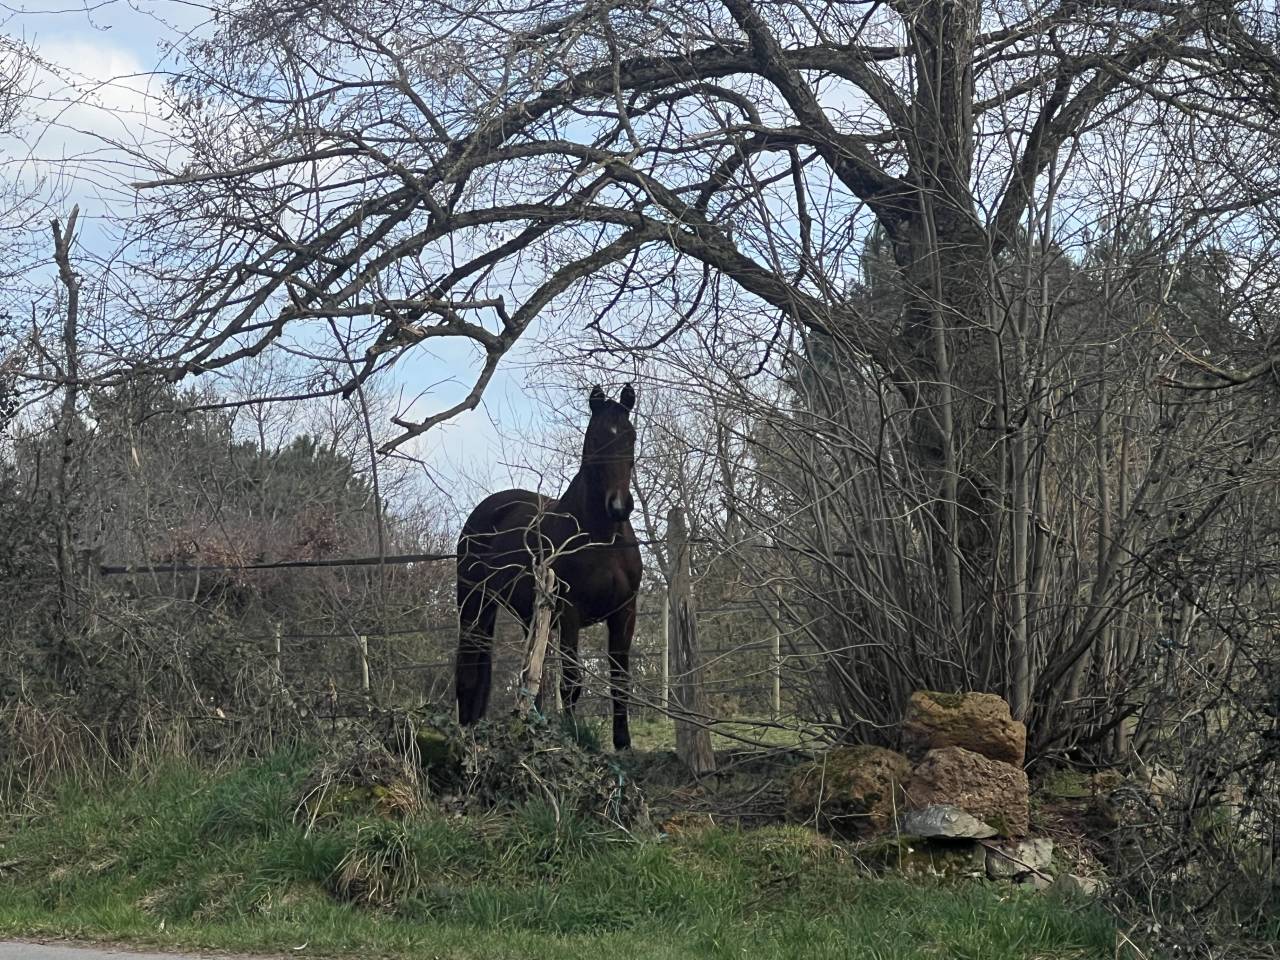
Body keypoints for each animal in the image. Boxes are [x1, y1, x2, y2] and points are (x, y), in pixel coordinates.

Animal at [455, 383, 643, 750]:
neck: (603, 539)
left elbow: (620, 681)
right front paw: (573, 737)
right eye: (596, 438)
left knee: (531, 678)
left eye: (630, 436)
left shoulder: (625, 612)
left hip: (528, 615)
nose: (619, 506)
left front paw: (623, 743)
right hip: (474, 606)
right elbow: (570, 682)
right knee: (469, 671)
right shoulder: (570, 611)